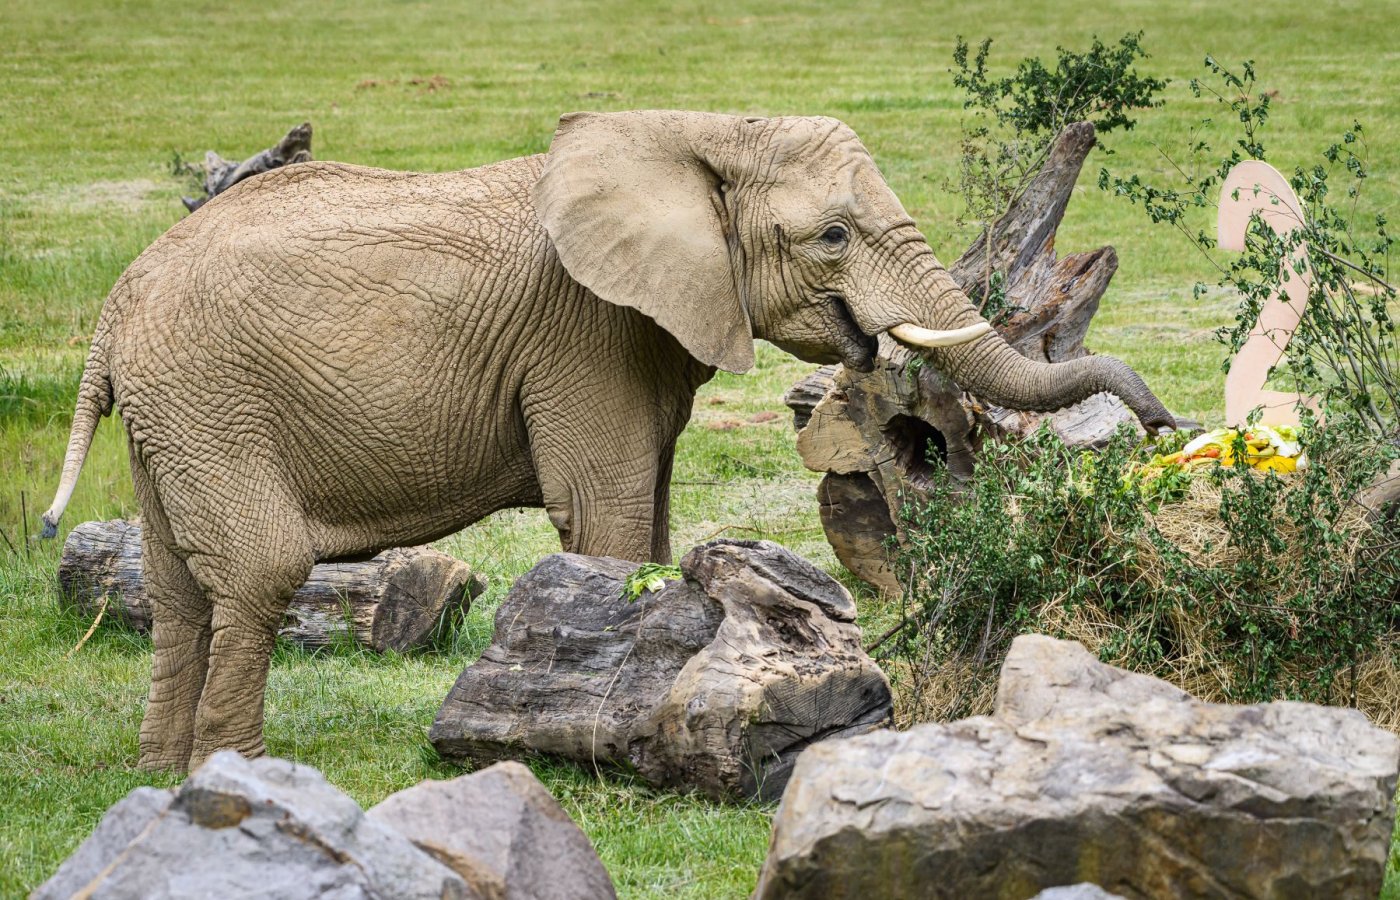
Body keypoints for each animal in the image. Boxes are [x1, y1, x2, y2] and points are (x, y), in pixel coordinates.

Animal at [43, 107, 1176, 767]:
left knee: (175, 589)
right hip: (210, 401)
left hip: (175, 417)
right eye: (832, 237)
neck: (692, 130)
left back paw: (159, 780)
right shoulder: (583, 330)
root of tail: (114, 308)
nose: (1163, 421)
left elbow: (655, 518)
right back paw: (227, 775)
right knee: (258, 573)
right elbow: (610, 516)